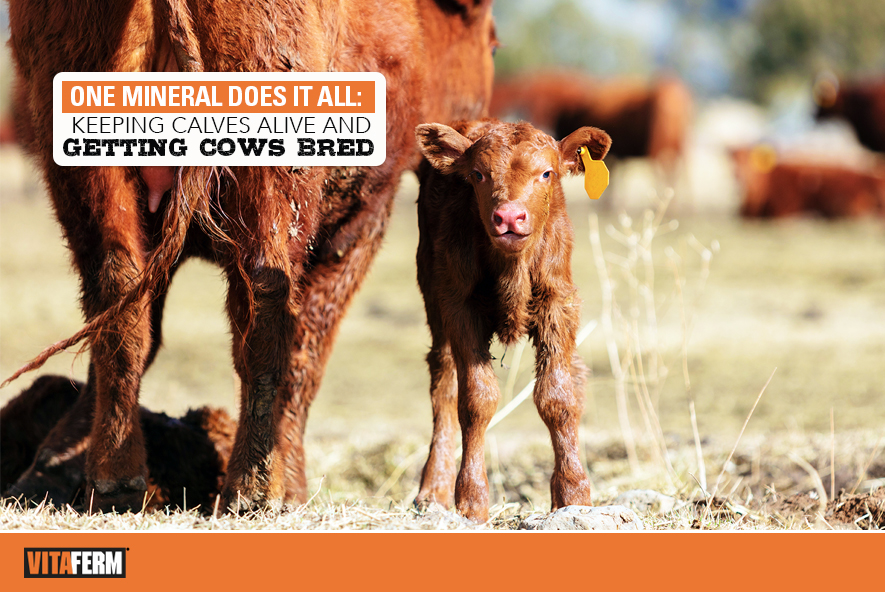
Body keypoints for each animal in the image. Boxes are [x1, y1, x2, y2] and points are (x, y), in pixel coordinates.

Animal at [413, 118, 611, 521]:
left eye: (547, 173)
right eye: (477, 174)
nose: (508, 216)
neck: (512, 271)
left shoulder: (559, 303)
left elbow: (558, 396)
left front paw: (573, 493)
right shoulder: (459, 306)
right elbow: (476, 399)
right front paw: (471, 498)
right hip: (433, 295)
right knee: (443, 381)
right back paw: (433, 489)